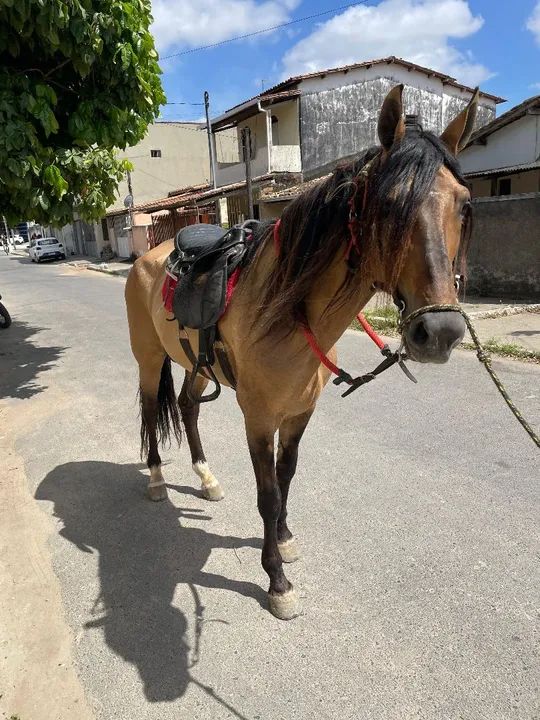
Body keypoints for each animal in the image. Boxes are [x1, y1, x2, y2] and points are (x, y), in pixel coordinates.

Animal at [125, 85, 477, 620]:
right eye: (389, 203)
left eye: (464, 204)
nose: (440, 331)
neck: (287, 312)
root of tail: (149, 254)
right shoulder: (259, 418)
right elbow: (268, 494)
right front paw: (276, 580)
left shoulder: (298, 414)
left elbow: (287, 478)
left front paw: (285, 539)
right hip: (148, 360)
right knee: (150, 410)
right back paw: (157, 481)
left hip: (196, 366)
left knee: (186, 407)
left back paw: (205, 478)